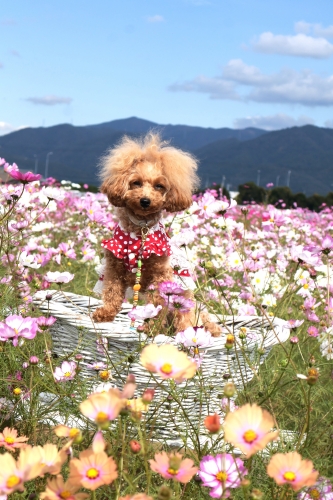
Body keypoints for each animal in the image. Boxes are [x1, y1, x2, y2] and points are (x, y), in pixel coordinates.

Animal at [91, 133, 220, 336]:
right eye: (136, 182)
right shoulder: (114, 267)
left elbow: (157, 304)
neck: (140, 230)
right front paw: (104, 314)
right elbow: (112, 292)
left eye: (159, 186)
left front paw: (150, 327)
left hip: (185, 304)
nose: (145, 201)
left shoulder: (160, 276)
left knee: (186, 321)